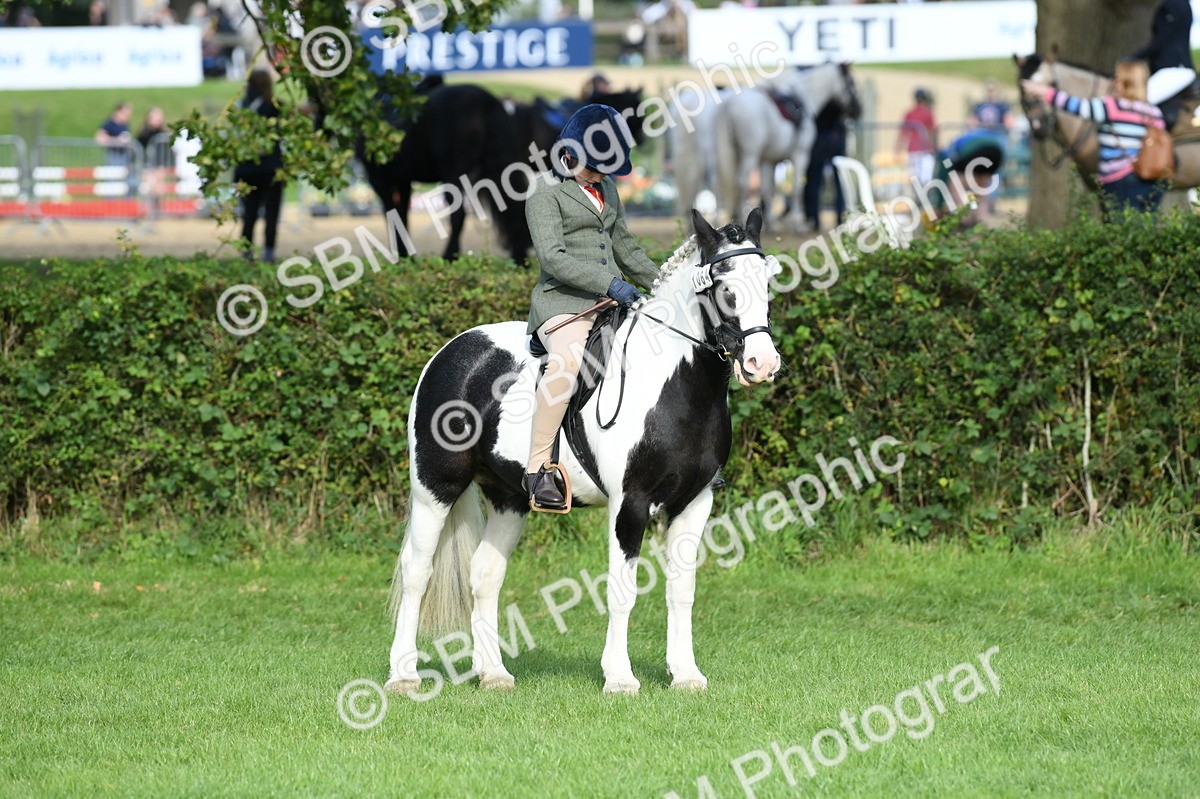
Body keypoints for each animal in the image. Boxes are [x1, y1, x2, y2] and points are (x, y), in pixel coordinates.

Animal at [358, 82, 533, 263]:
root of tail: (485, 101)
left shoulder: (379, 179)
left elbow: (392, 216)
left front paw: (401, 258)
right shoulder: (403, 181)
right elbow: (402, 216)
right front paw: (407, 258)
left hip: (453, 174)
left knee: (459, 215)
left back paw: (449, 257)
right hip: (498, 165)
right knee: (513, 207)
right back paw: (520, 260)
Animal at [385, 207, 782, 696]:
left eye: (766, 282)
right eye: (725, 287)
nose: (762, 364)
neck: (673, 387)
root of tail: (452, 351)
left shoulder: (694, 502)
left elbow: (681, 590)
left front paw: (686, 674)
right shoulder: (629, 504)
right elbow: (622, 590)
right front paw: (619, 678)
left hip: (510, 497)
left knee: (485, 575)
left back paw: (494, 673)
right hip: (435, 487)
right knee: (416, 571)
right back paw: (403, 676)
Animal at [715, 63, 861, 232]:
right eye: (851, 82)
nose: (858, 110)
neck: (805, 98)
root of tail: (730, 103)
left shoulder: (768, 160)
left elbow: (768, 190)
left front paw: (771, 225)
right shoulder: (800, 155)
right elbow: (797, 189)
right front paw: (798, 225)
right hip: (749, 154)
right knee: (741, 182)